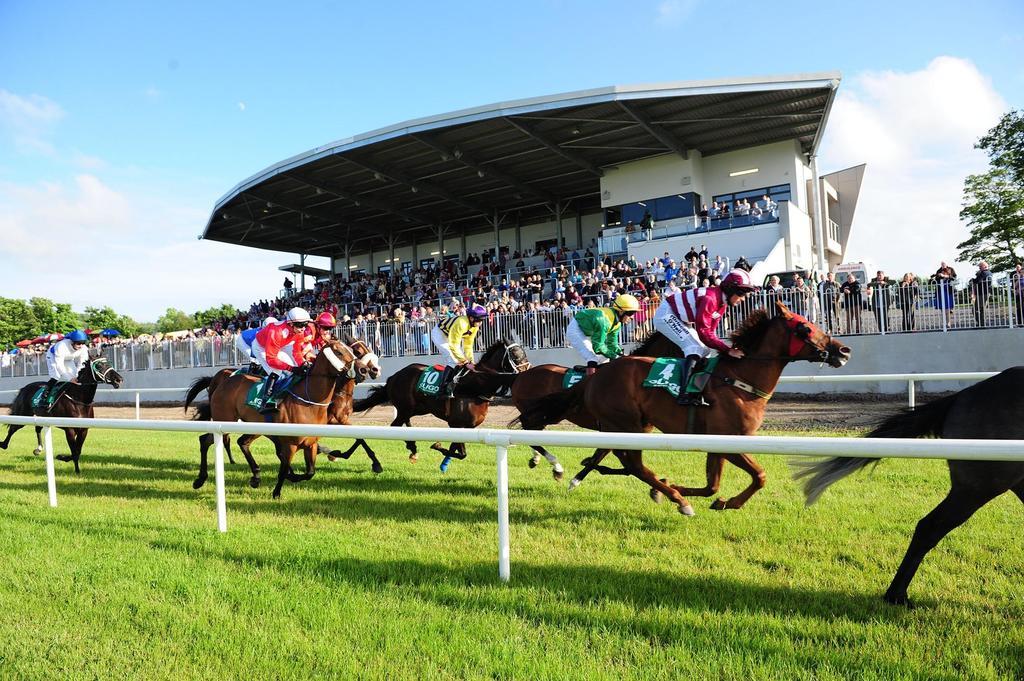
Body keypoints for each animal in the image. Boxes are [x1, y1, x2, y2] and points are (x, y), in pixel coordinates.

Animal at [183, 337, 380, 489]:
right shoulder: (331, 422)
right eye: (340, 352)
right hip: (225, 419)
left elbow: (357, 438)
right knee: (208, 440)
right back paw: (201, 479)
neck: (309, 398)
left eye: (353, 351)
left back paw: (254, 475)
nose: (366, 370)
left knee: (239, 442)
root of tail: (222, 382)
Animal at [352, 342, 528, 471]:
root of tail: (394, 377)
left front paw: (444, 463)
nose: (527, 372)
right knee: (395, 425)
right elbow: (460, 452)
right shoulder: (456, 424)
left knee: (405, 422)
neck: (474, 386)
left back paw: (412, 447)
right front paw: (437, 446)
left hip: (418, 408)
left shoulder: (465, 427)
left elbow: (458, 450)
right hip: (406, 407)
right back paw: (410, 447)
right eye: (516, 356)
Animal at [509, 327, 684, 477]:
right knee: (527, 428)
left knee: (532, 433)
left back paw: (537, 459)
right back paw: (555, 466)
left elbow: (607, 458)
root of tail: (521, 375)